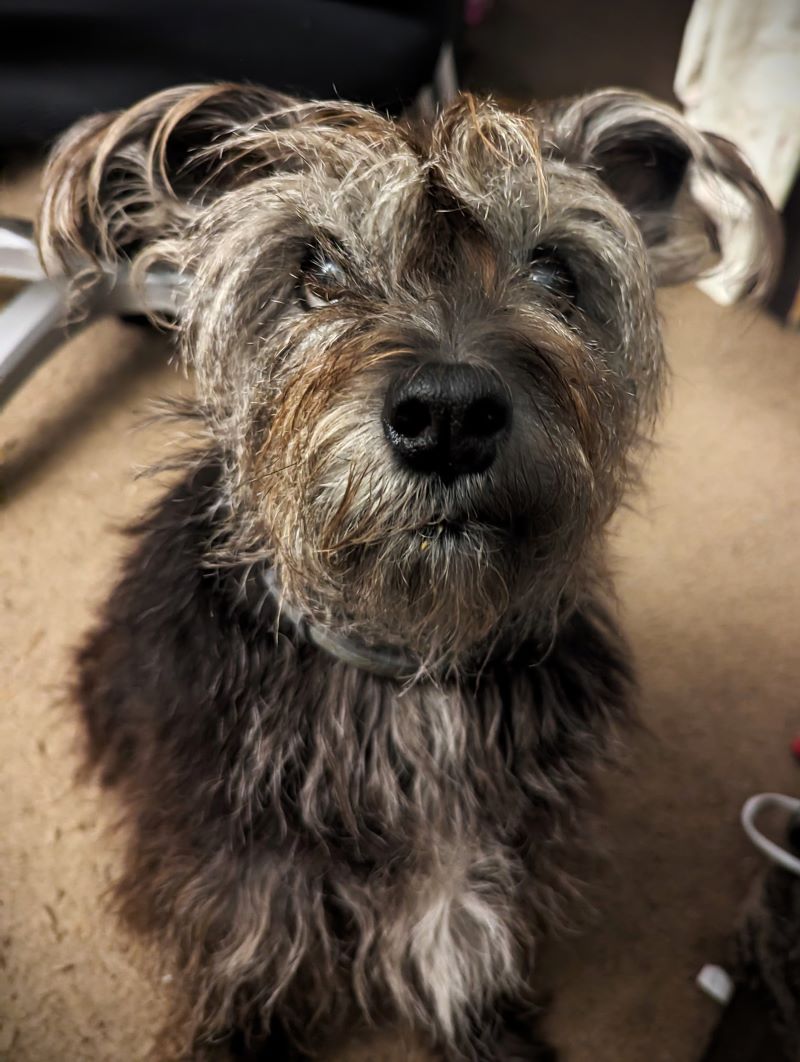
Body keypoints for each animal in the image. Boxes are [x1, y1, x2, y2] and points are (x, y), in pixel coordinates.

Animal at [39, 84, 781, 1062]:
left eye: (555, 271)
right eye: (316, 264)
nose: (449, 416)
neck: (410, 677)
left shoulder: (477, 896)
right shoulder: (245, 906)